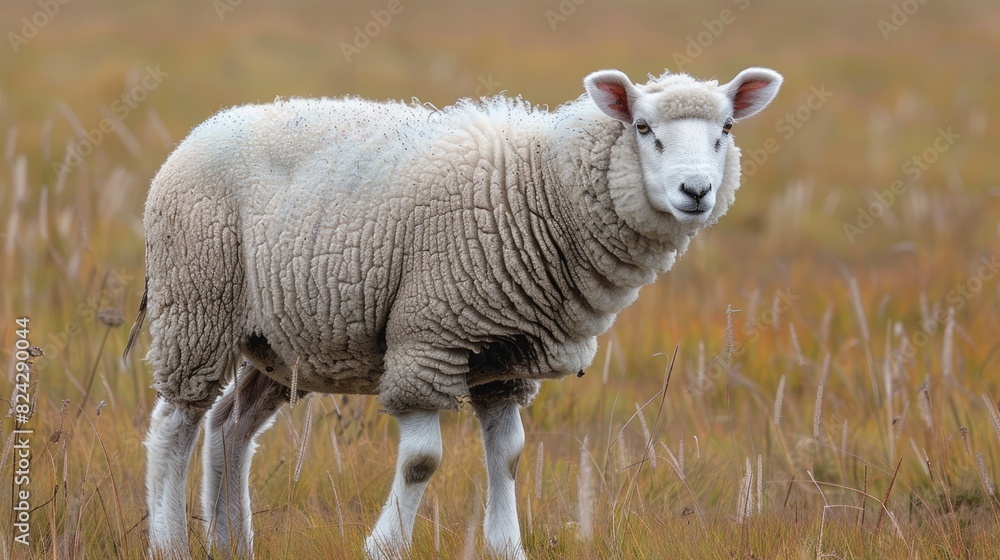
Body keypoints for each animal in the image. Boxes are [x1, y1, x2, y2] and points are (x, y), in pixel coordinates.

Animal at [130, 65, 781, 559]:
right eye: (644, 128)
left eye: (726, 128)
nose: (695, 191)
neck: (544, 191)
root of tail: (202, 130)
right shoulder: (429, 335)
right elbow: (422, 461)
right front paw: (385, 546)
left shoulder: (505, 357)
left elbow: (509, 455)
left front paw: (507, 548)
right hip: (196, 301)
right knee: (174, 425)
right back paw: (169, 544)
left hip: (284, 341)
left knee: (230, 427)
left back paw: (232, 544)